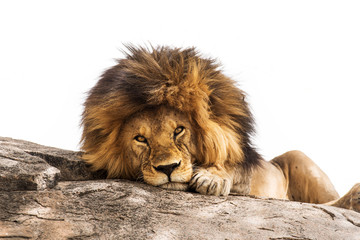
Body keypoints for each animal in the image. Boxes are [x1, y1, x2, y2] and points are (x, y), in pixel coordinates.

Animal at [81, 45, 360, 212]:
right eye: (141, 139)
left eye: (179, 130)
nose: (168, 168)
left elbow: (231, 162)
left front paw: (211, 178)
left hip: (298, 157)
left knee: (327, 203)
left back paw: (354, 197)